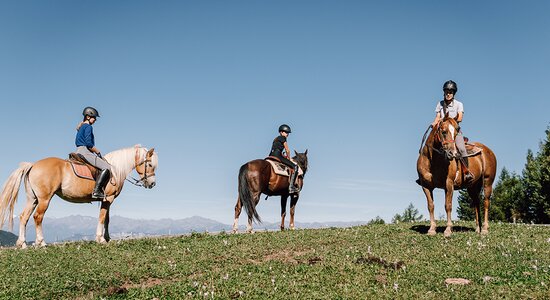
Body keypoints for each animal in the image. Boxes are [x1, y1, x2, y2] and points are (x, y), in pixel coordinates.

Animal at [0, 144, 158, 247]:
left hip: (32, 199)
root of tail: (33, 165)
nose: (152, 184)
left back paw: (22, 244)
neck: (115, 169)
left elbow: (107, 219)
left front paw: (107, 238)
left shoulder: (107, 200)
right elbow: (102, 218)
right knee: (37, 217)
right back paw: (41, 242)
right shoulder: (108, 198)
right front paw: (100, 239)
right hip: (44, 199)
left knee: (24, 217)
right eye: (150, 165)